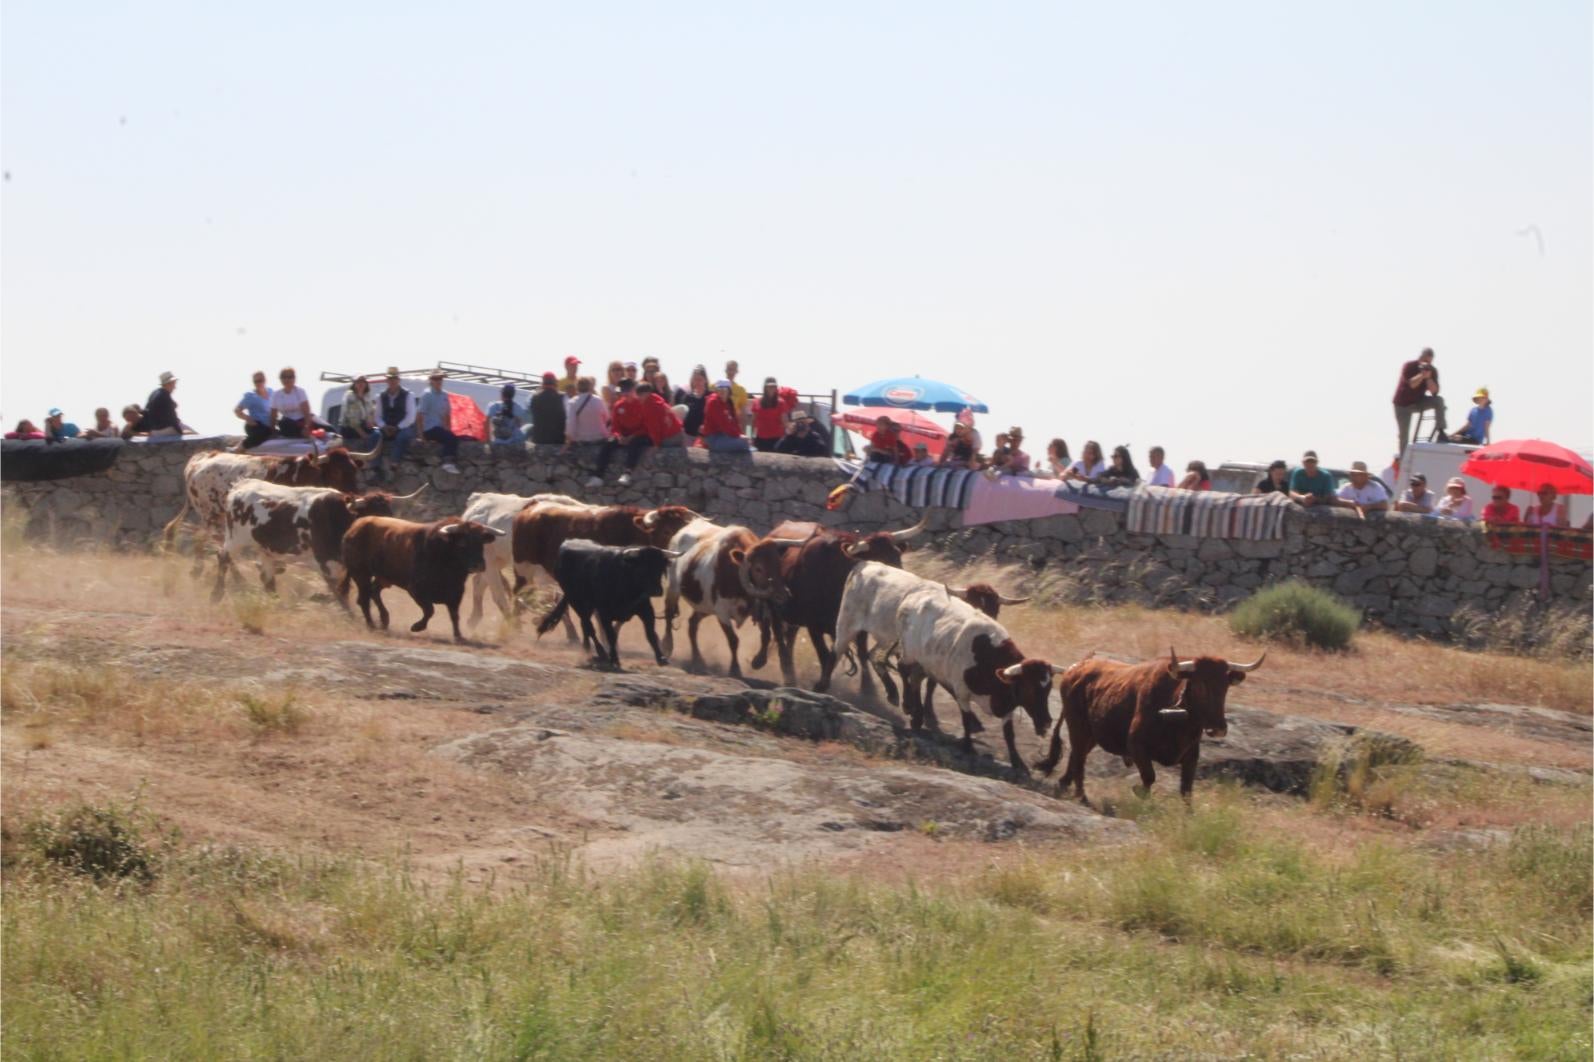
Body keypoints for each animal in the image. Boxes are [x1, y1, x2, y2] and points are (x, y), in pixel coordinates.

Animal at [212, 478, 424, 596]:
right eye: (374, 512)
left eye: (388, 511)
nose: (389, 530)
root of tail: (241, 485)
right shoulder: (326, 563)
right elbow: (338, 591)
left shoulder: (345, 565)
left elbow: (344, 589)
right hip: (235, 540)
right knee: (223, 557)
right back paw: (216, 595)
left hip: (265, 549)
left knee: (267, 576)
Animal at [1032, 644, 1268, 803]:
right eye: (1200, 684)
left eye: (1225, 686)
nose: (1218, 728)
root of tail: (1076, 668)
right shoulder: (1136, 746)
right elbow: (1149, 777)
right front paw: (1139, 793)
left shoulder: (1191, 756)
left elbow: (1186, 790)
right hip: (1078, 727)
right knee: (1079, 760)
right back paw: (1081, 797)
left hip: (1091, 734)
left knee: (1075, 755)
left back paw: (1064, 784)